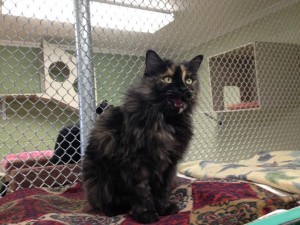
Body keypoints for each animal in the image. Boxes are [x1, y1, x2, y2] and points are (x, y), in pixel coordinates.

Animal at [82, 49, 203, 223]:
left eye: (188, 80)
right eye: (167, 79)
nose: (185, 90)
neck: (166, 122)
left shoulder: (169, 164)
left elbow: (162, 190)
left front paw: (164, 209)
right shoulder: (136, 163)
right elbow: (142, 193)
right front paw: (147, 214)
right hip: (100, 180)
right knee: (103, 202)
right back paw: (115, 210)